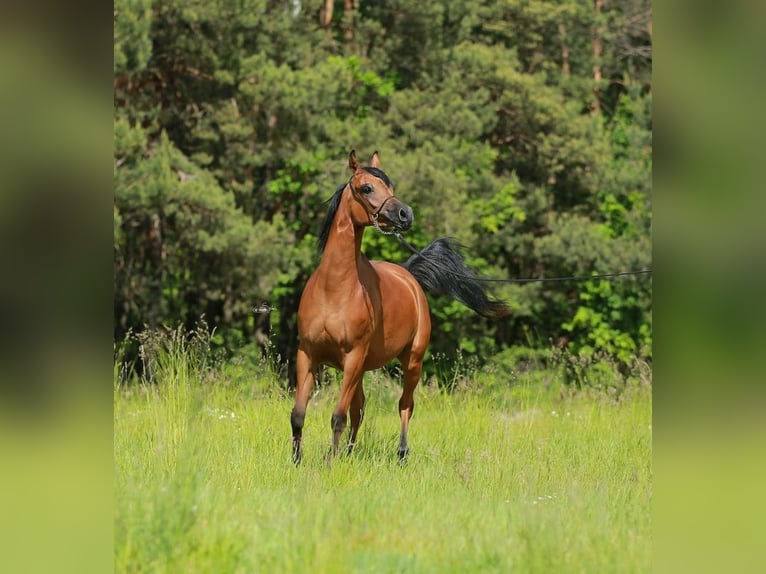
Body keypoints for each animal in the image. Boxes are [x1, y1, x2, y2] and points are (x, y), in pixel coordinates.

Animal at [290, 150, 510, 464]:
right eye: (366, 188)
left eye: (390, 187)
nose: (405, 214)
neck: (334, 289)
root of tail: (408, 274)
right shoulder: (307, 355)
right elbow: (299, 414)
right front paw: (296, 461)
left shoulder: (352, 358)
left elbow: (337, 417)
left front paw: (329, 462)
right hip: (361, 369)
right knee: (360, 409)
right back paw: (351, 453)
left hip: (411, 361)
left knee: (405, 405)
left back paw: (402, 454)